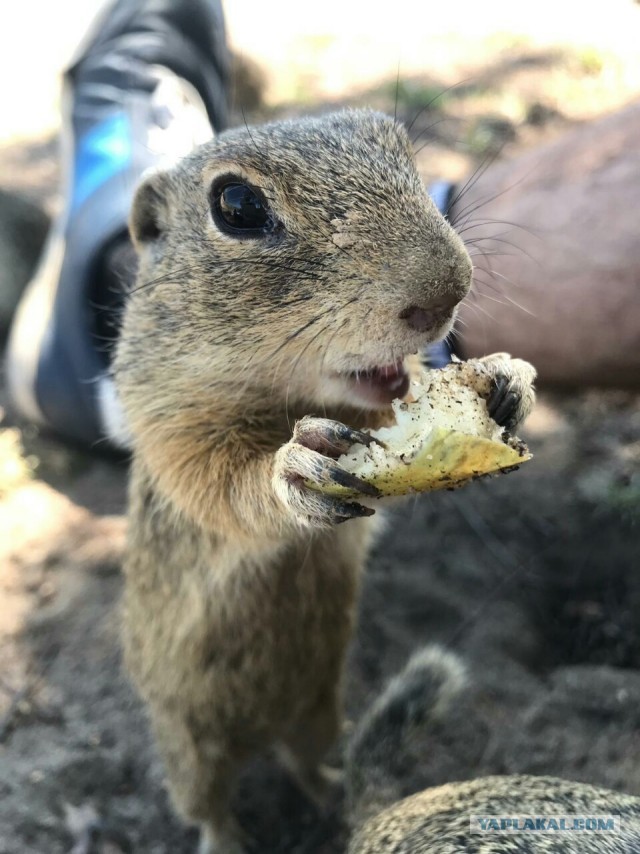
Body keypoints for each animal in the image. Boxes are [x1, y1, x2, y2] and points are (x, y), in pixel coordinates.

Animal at [114, 110, 536, 852]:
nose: (447, 289)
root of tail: (262, 734)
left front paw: (505, 380)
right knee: (209, 806)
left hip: (318, 707)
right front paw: (291, 468)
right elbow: (226, 491)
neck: (296, 398)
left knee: (306, 762)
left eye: (397, 143)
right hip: (189, 747)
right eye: (235, 205)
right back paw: (229, 836)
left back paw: (334, 788)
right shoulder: (174, 436)